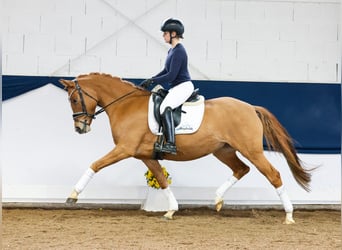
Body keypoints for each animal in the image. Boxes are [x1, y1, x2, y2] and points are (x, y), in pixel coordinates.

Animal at [60, 72, 312, 225]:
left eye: (74, 100)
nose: (80, 128)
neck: (126, 105)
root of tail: (251, 107)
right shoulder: (145, 156)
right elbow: (161, 179)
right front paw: (171, 210)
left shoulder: (125, 149)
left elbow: (95, 165)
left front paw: (72, 195)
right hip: (223, 150)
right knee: (241, 169)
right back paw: (217, 200)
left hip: (252, 151)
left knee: (273, 174)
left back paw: (289, 215)